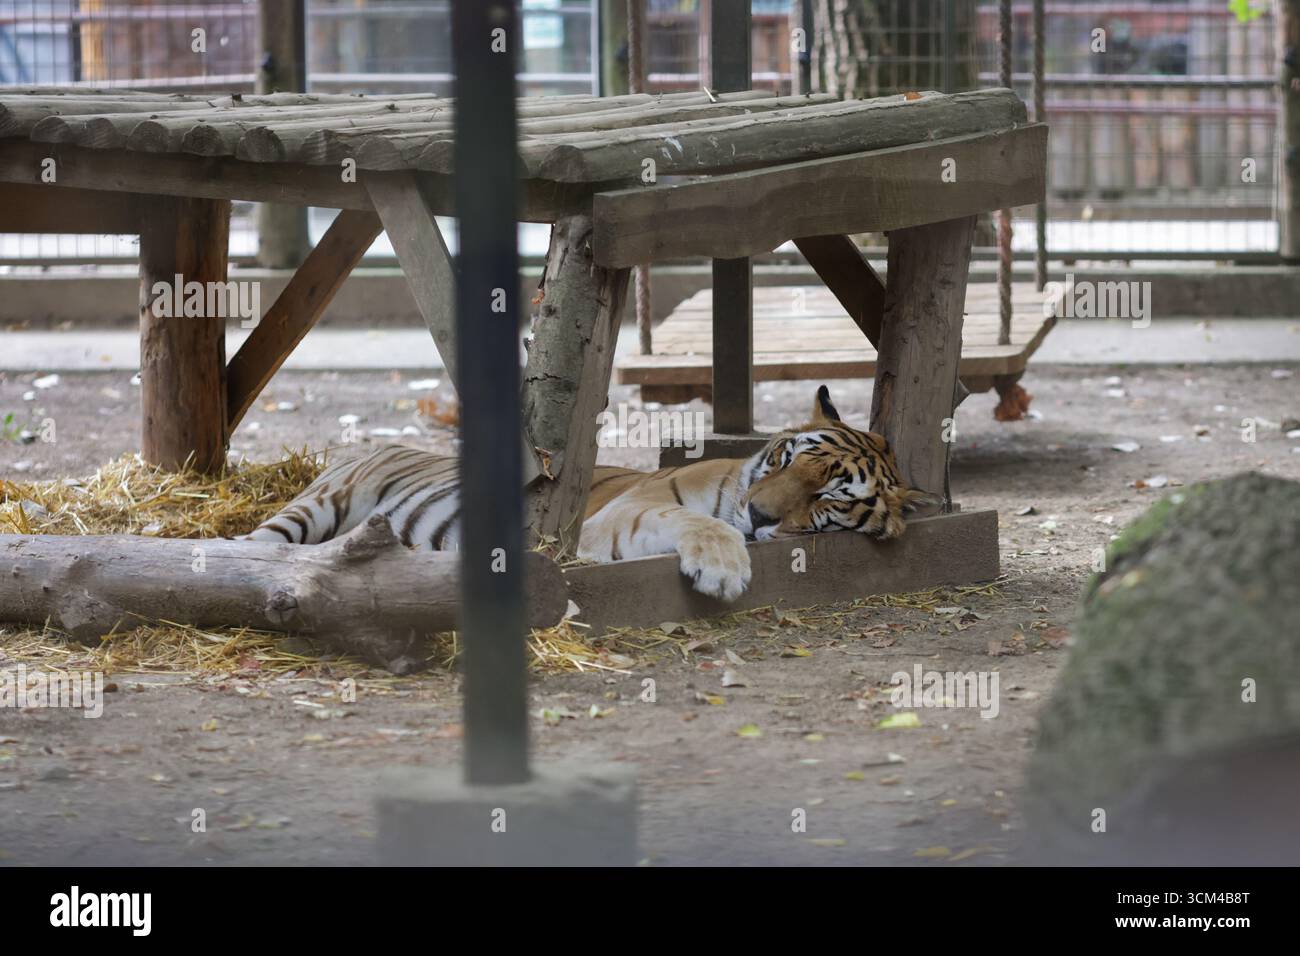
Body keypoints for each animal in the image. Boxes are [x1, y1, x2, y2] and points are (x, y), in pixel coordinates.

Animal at [245, 385, 934, 601]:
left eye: (831, 497)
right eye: (787, 458)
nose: (760, 514)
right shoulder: (624, 514)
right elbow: (697, 522)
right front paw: (723, 568)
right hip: (314, 506)